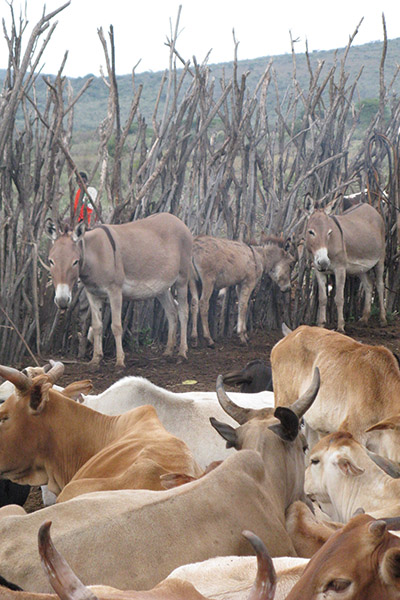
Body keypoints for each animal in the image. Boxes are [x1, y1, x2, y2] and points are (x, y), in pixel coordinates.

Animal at [45, 213, 192, 368]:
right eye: (51, 261)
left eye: (75, 262)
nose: (62, 301)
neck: (96, 254)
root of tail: (176, 219)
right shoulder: (92, 293)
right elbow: (97, 326)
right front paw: (95, 360)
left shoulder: (114, 291)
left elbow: (116, 326)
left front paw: (120, 362)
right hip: (161, 286)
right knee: (171, 312)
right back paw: (168, 352)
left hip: (182, 279)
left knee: (183, 312)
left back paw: (182, 353)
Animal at [304, 202, 386, 332]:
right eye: (311, 232)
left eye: (329, 233)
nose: (324, 262)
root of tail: (369, 206)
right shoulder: (318, 271)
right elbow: (322, 299)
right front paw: (321, 325)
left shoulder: (340, 269)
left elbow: (339, 298)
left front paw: (340, 327)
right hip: (361, 267)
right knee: (369, 285)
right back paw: (364, 319)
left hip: (380, 260)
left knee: (380, 285)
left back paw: (383, 319)